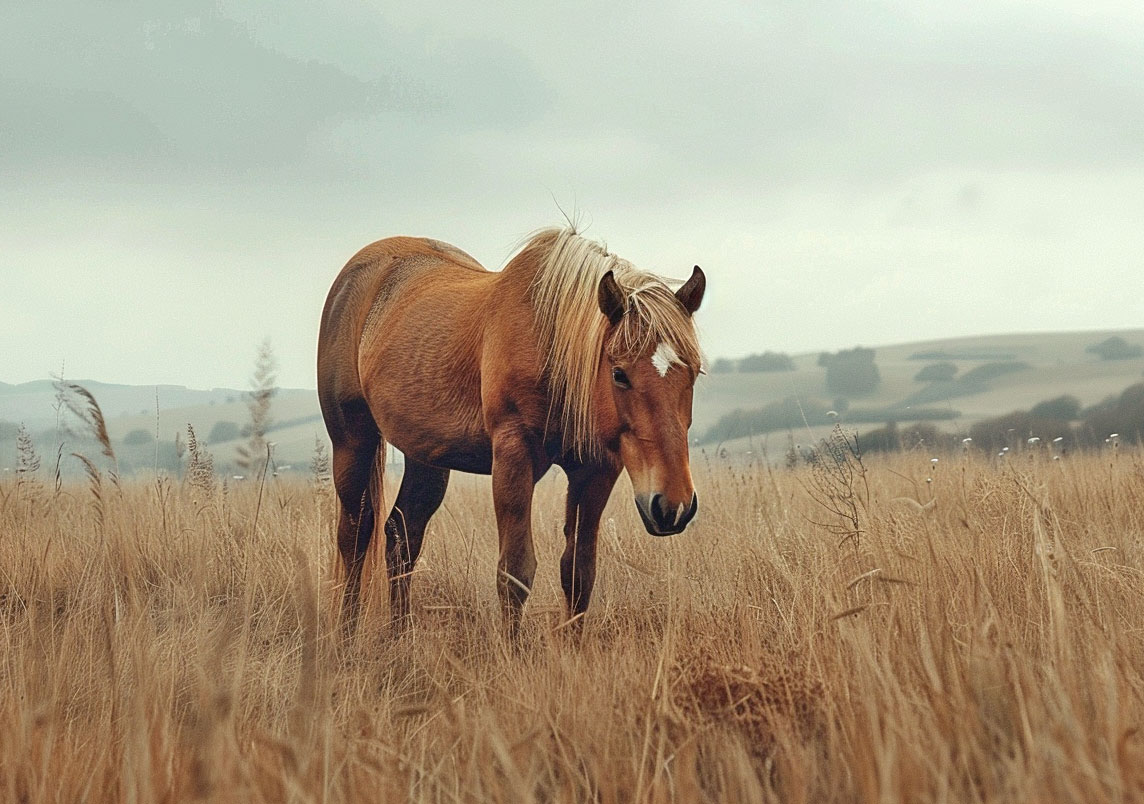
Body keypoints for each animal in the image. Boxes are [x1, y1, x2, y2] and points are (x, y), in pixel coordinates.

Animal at [315, 226, 704, 635]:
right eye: (619, 374)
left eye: (694, 372)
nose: (673, 507)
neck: (551, 345)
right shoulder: (513, 458)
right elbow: (515, 573)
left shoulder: (596, 471)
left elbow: (579, 574)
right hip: (352, 444)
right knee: (356, 536)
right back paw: (346, 636)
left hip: (427, 458)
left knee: (401, 536)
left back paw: (400, 637)